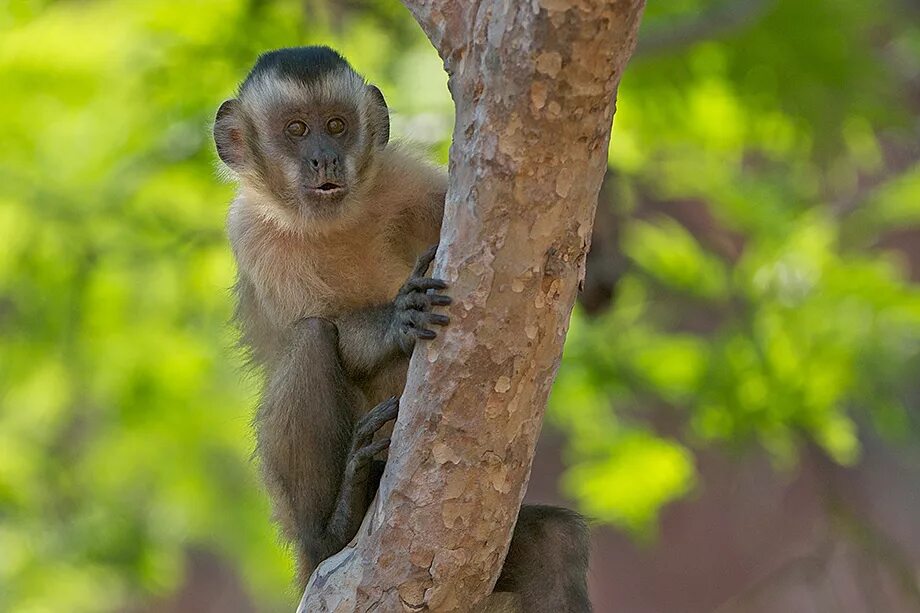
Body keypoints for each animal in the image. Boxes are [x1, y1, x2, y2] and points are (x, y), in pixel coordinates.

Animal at [214, 45, 588, 608]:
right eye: (297, 130)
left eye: (337, 125)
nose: (324, 157)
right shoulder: (252, 234)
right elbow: (327, 330)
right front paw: (398, 320)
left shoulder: (401, 176)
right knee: (311, 337)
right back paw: (335, 526)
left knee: (554, 543)